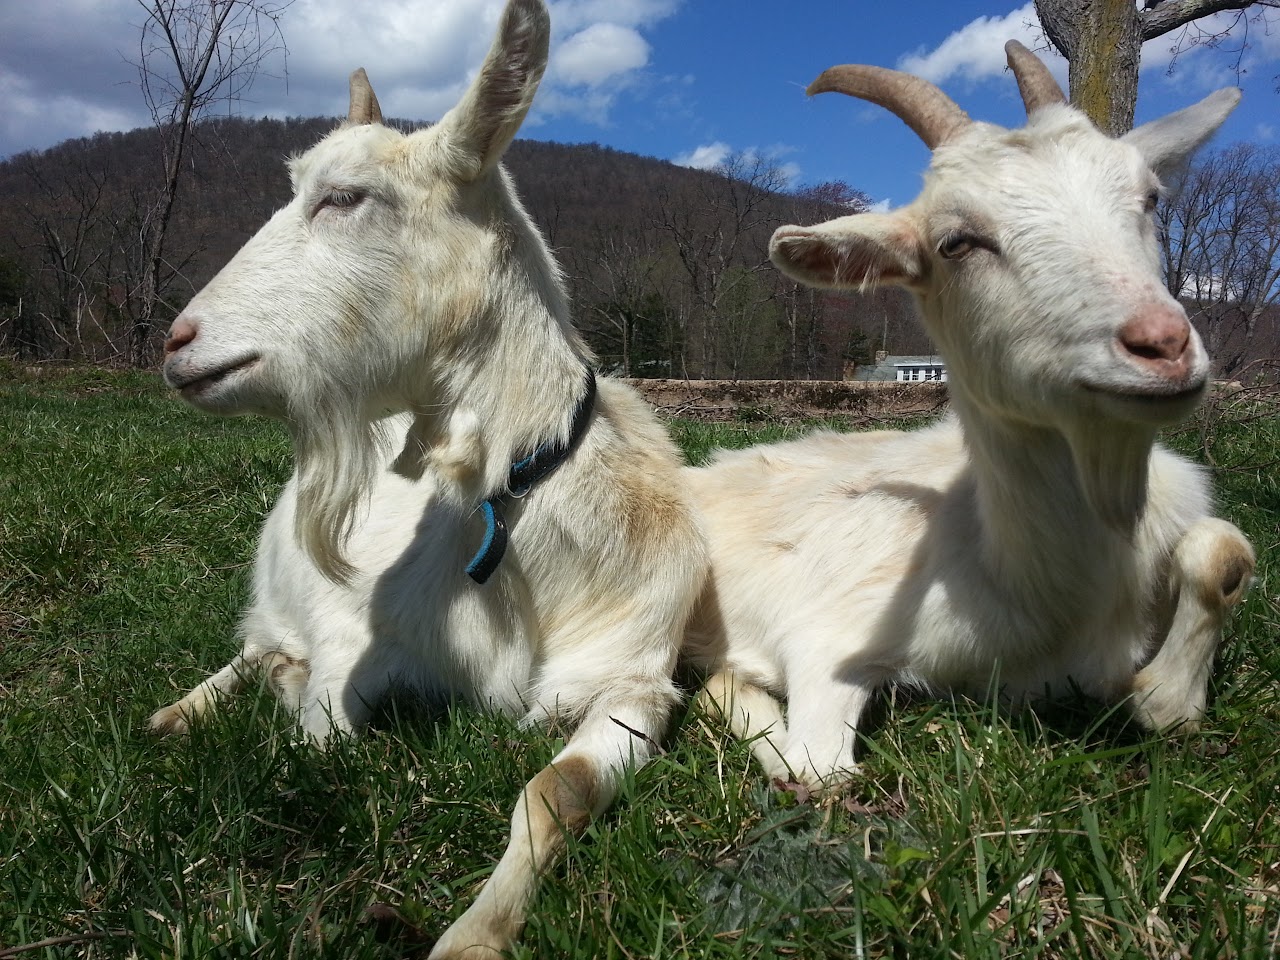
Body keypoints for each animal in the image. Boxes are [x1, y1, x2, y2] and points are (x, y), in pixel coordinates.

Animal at [148, 1, 707, 956]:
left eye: (345, 196)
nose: (179, 342)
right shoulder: (350, 645)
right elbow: (324, 741)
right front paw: (286, 696)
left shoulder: (634, 681)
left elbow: (554, 791)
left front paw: (475, 933)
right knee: (250, 647)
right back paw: (183, 710)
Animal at [685, 42, 1256, 790]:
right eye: (956, 242)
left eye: (1151, 197)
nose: (1161, 345)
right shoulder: (834, 632)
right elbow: (820, 767)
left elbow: (1220, 554)